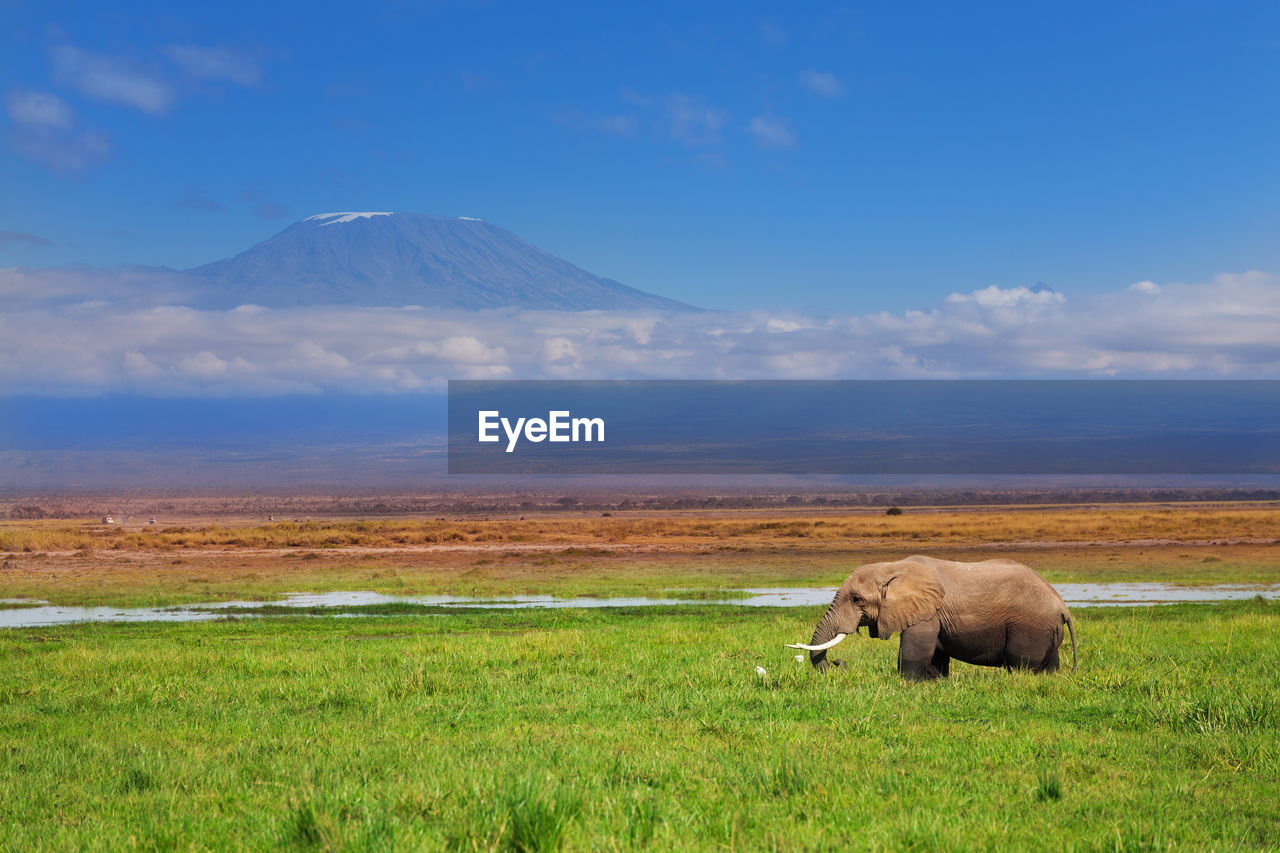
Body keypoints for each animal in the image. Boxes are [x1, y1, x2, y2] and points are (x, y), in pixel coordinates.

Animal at [788, 555, 1070, 681]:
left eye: (857, 599)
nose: (839, 663)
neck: (893, 567)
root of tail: (1062, 607)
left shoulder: (926, 613)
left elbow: (916, 648)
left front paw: (908, 683)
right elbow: (935, 651)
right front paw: (934, 681)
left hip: (1030, 628)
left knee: (1021, 665)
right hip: (1047, 631)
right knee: (1049, 666)